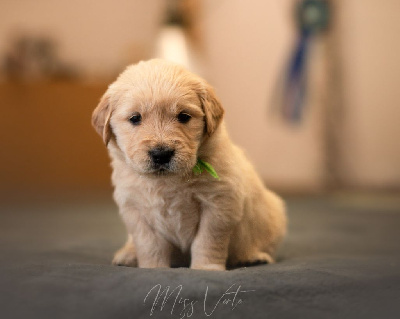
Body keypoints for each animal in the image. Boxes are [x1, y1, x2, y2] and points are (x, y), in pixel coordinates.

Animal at [92, 59, 286, 270]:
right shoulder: (134, 208)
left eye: (183, 116)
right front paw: (153, 267)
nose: (161, 154)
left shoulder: (220, 203)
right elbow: (149, 244)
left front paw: (206, 267)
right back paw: (127, 255)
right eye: (135, 118)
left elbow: (208, 240)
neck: (167, 182)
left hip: (272, 214)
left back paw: (253, 256)